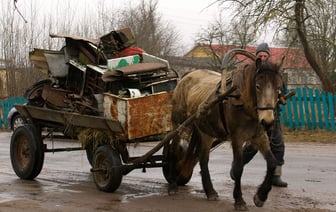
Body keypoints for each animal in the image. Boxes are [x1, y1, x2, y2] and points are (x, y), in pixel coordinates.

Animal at [168, 56, 284, 210]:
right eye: (258, 86)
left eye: (278, 87)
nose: (268, 121)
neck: (242, 100)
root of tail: (186, 76)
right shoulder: (237, 138)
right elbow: (238, 168)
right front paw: (239, 200)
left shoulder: (259, 136)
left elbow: (272, 163)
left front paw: (261, 196)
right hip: (179, 124)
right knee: (174, 150)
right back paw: (172, 185)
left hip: (205, 132)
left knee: (203, 159)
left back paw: (210, 191)